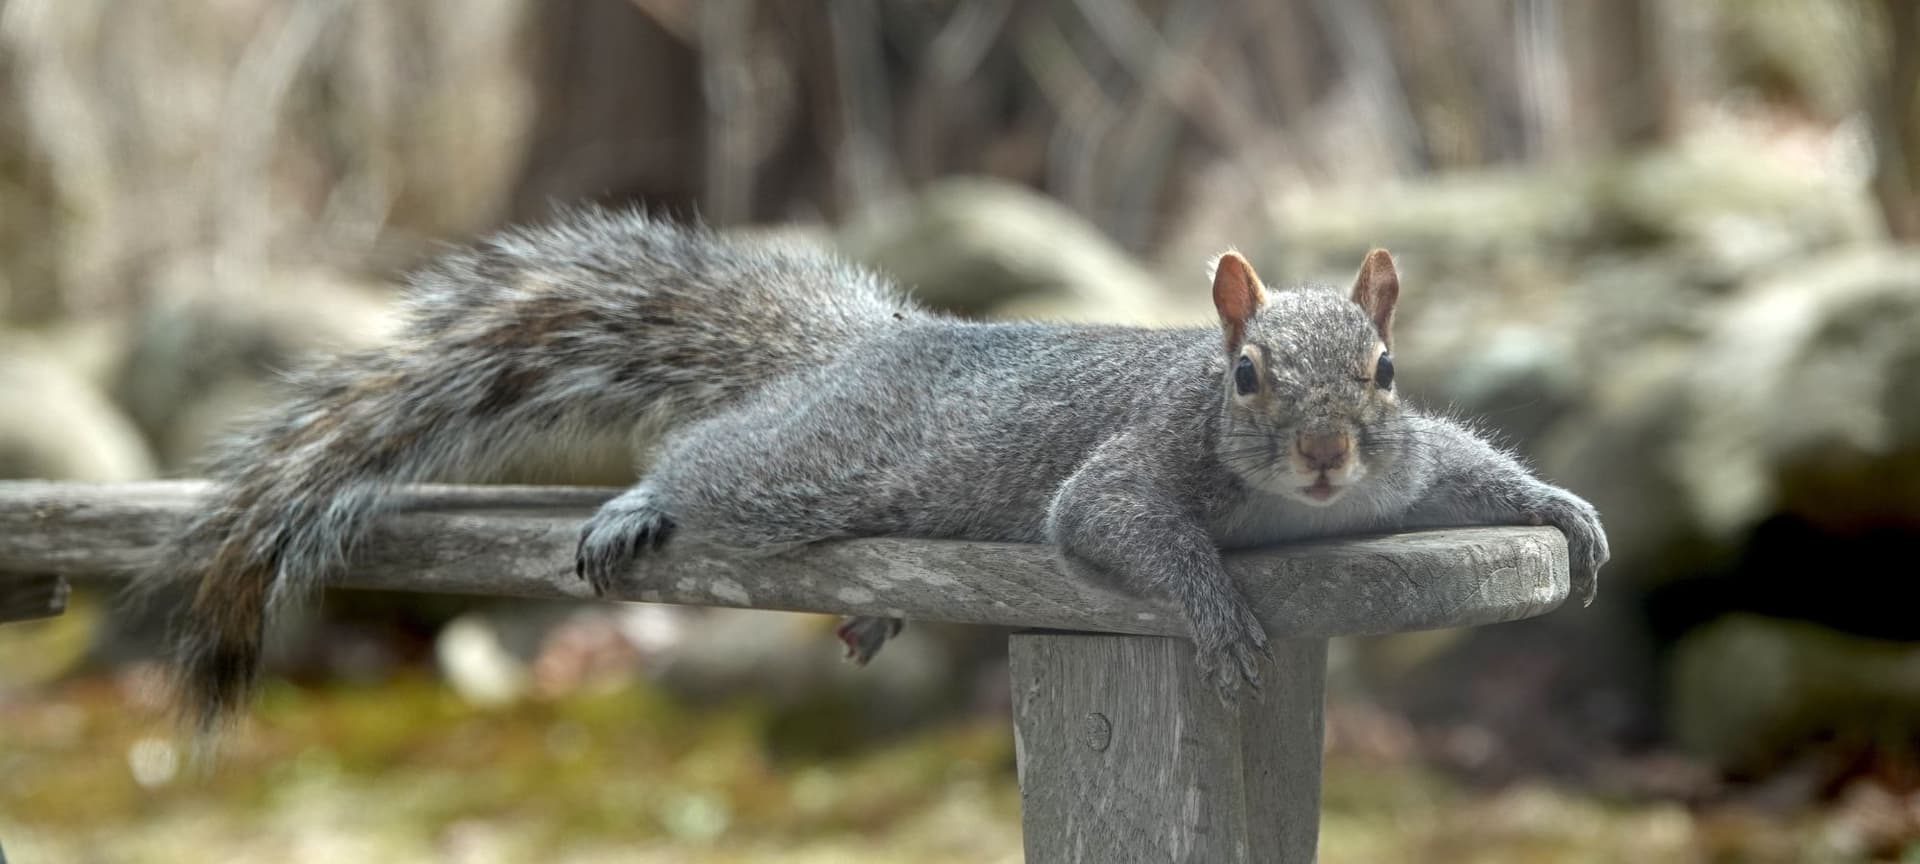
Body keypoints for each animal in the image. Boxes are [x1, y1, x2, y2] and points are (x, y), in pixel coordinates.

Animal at [158, 207, 1608, 734]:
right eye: (1244, 376)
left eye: (1385, 370)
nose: (1319, 457)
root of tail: (871, 342)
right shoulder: (1132, 465)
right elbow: (1115, 523)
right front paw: (1211, 602)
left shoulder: (1405, 465)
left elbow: (1467, 470)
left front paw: (1561, 507)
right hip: (810, 460)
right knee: (713, 459)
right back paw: (641, 502)